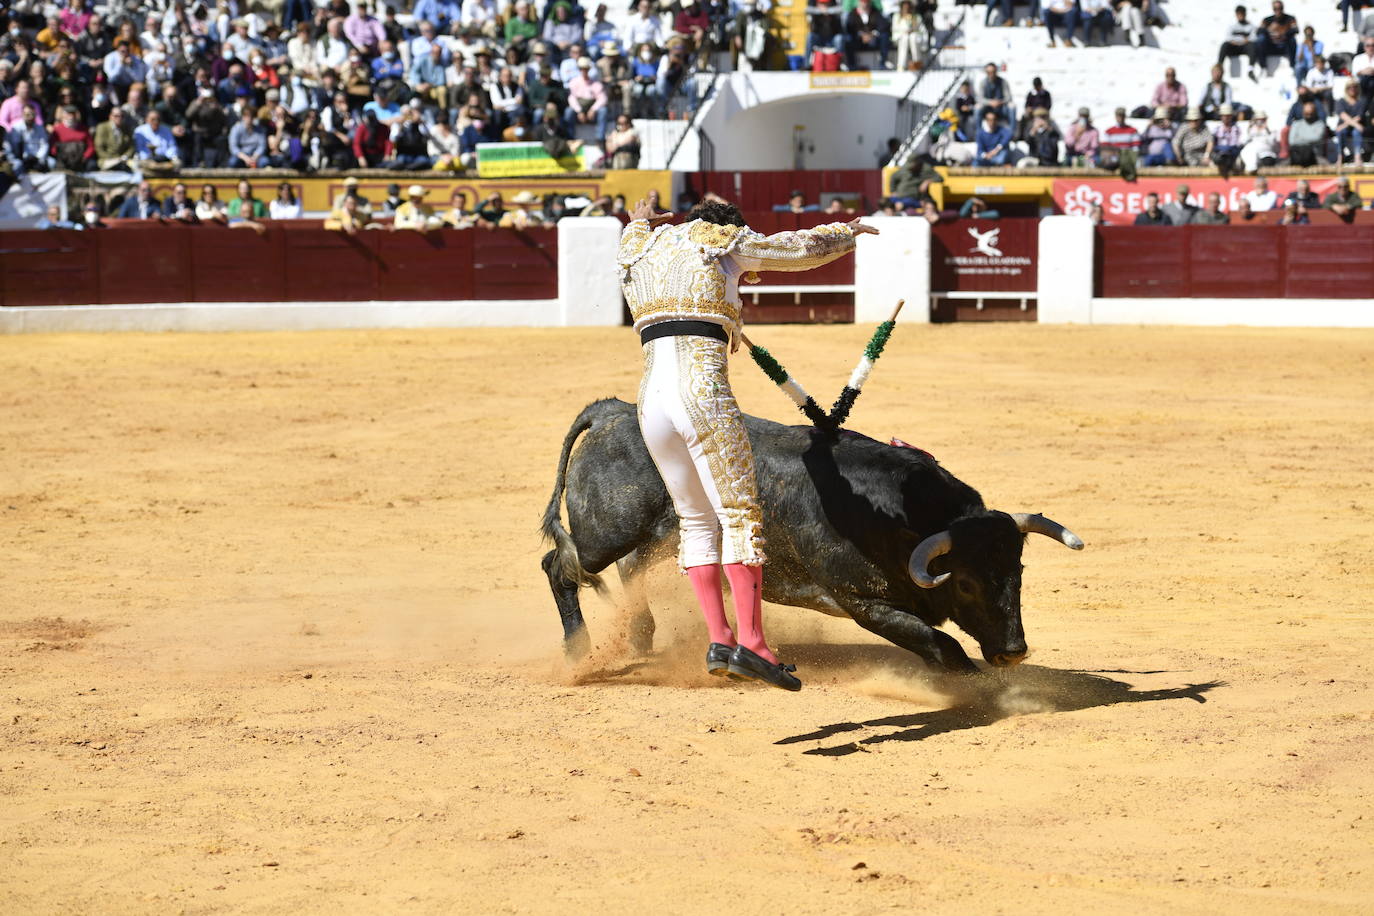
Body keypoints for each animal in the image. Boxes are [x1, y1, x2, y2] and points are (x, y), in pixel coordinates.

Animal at [535, 398, 1082, 672]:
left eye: (1017, 573)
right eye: (965, 583)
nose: (1013, 651)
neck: (902, 520)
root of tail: (614, 411)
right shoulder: (862, 601)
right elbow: (940, 644)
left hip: (659, 535)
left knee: (630, 568)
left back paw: (640, 635)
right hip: (608, 530)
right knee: (561, 568)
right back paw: (579, 651)